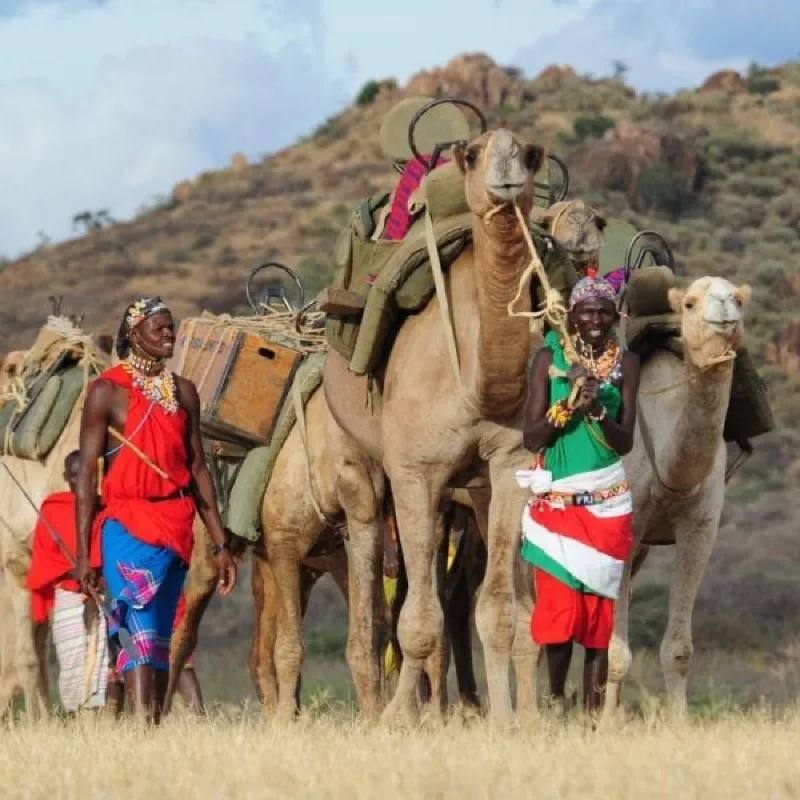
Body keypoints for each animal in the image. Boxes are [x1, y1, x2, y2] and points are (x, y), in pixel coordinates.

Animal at [600, 275, 752, 721]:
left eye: (738, 298)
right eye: (689, 302)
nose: (724, 308)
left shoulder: (699, 527)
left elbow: (679, 649)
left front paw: (678, 724)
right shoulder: (626, 525)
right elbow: (616, 650)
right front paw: (607, 725)